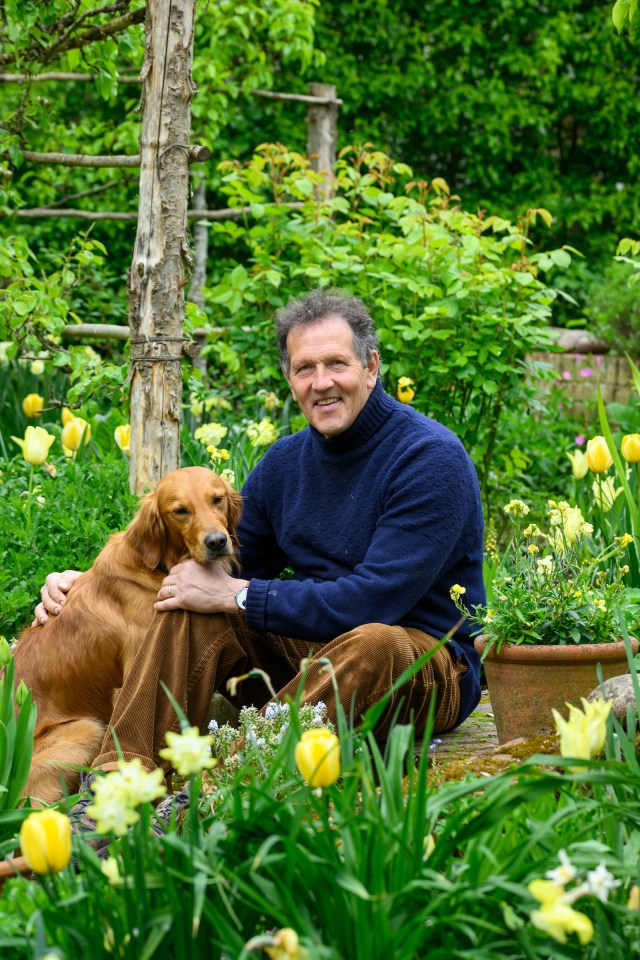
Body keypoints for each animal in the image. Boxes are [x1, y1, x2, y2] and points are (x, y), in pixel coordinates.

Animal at [13, 464, 241, 804]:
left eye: (217, 499)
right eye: (180, 511)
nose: (216, 542)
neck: (157, 567)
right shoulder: (133, 681)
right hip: (87, 729)